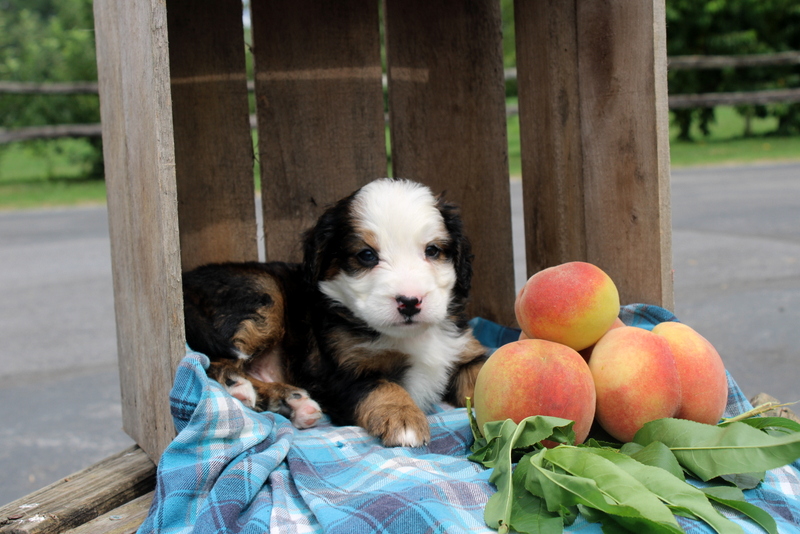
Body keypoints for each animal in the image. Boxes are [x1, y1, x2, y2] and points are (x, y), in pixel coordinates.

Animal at [183, 179, 488, 448]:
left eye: (432, 250)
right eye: (367, 255)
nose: (410, 302)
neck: (412, 337)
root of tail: (184, 279)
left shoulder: (464, 353)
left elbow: (482, 375)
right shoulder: (340, 371)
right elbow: (382, 386)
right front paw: (404, 419)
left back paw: (292, 401)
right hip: (264, 293)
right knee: (210, 361)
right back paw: (239, 386)